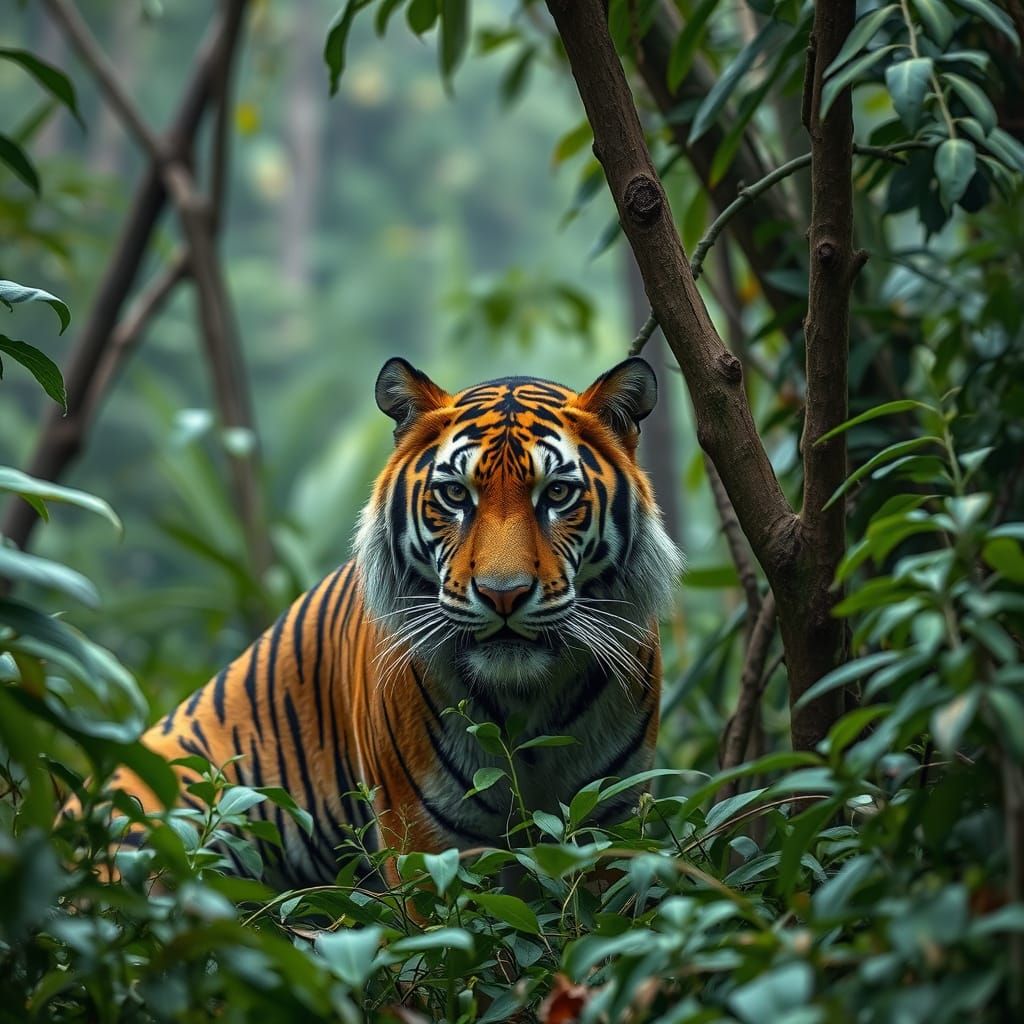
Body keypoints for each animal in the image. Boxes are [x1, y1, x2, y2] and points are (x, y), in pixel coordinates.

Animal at [93, 357, 683, 888]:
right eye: (455, 494)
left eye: (557, 493)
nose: (503, 594)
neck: (526, 704)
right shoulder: (422, 835)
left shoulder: (607, 818)